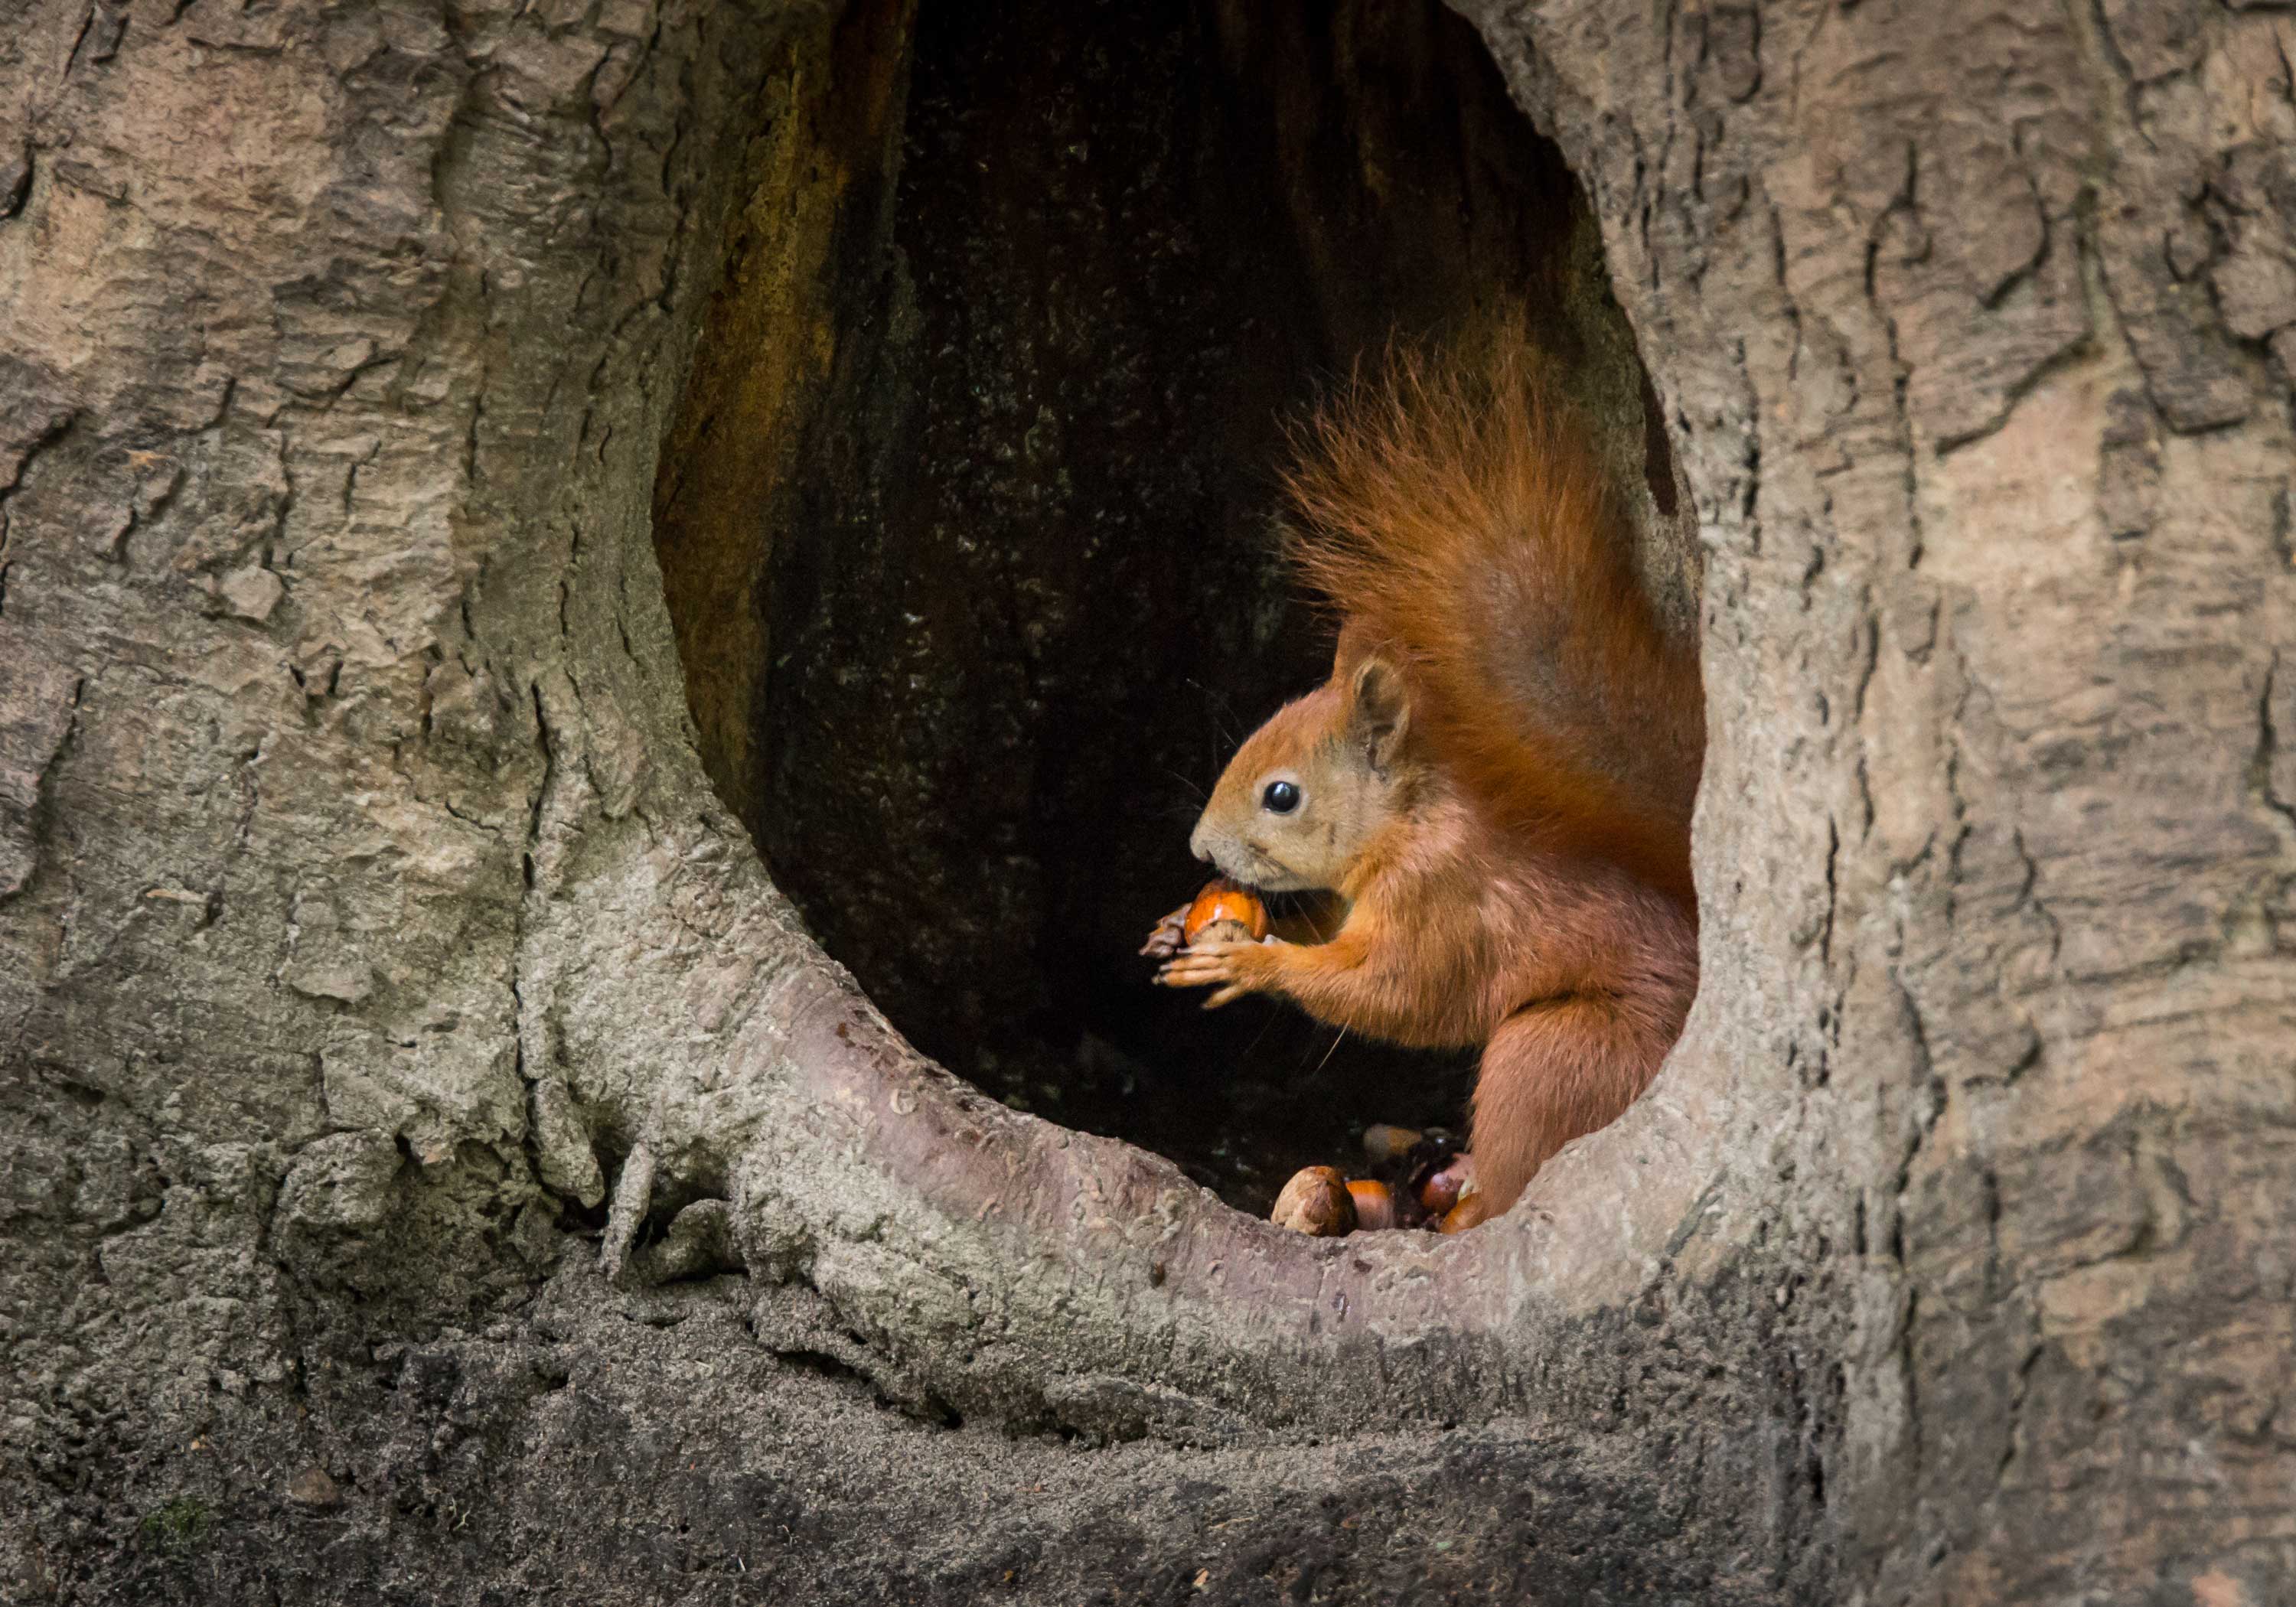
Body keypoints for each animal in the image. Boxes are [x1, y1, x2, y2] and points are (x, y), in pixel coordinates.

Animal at [1148, 326, 1708, 1231]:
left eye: (1282, 795)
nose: (1200, 850)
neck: (1406, 823)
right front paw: (1175, 925)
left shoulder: (1442, 899)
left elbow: (1390, 993)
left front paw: (1248, 967)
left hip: (1554, 1055)